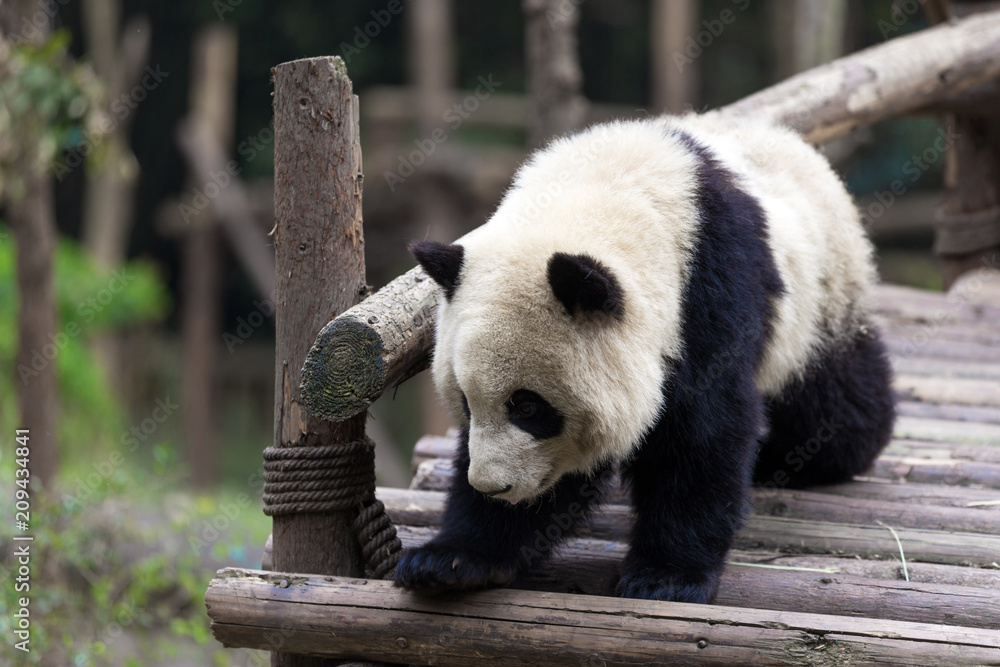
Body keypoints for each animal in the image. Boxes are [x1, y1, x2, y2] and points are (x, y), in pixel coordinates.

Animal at [394, 113, 895, 603]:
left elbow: (702, 431)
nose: (492, 486)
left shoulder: (708, 291)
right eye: (465, 401)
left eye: (529, 406)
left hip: (821, 291)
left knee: (829, 392)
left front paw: (666, 577)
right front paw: (453, 560)